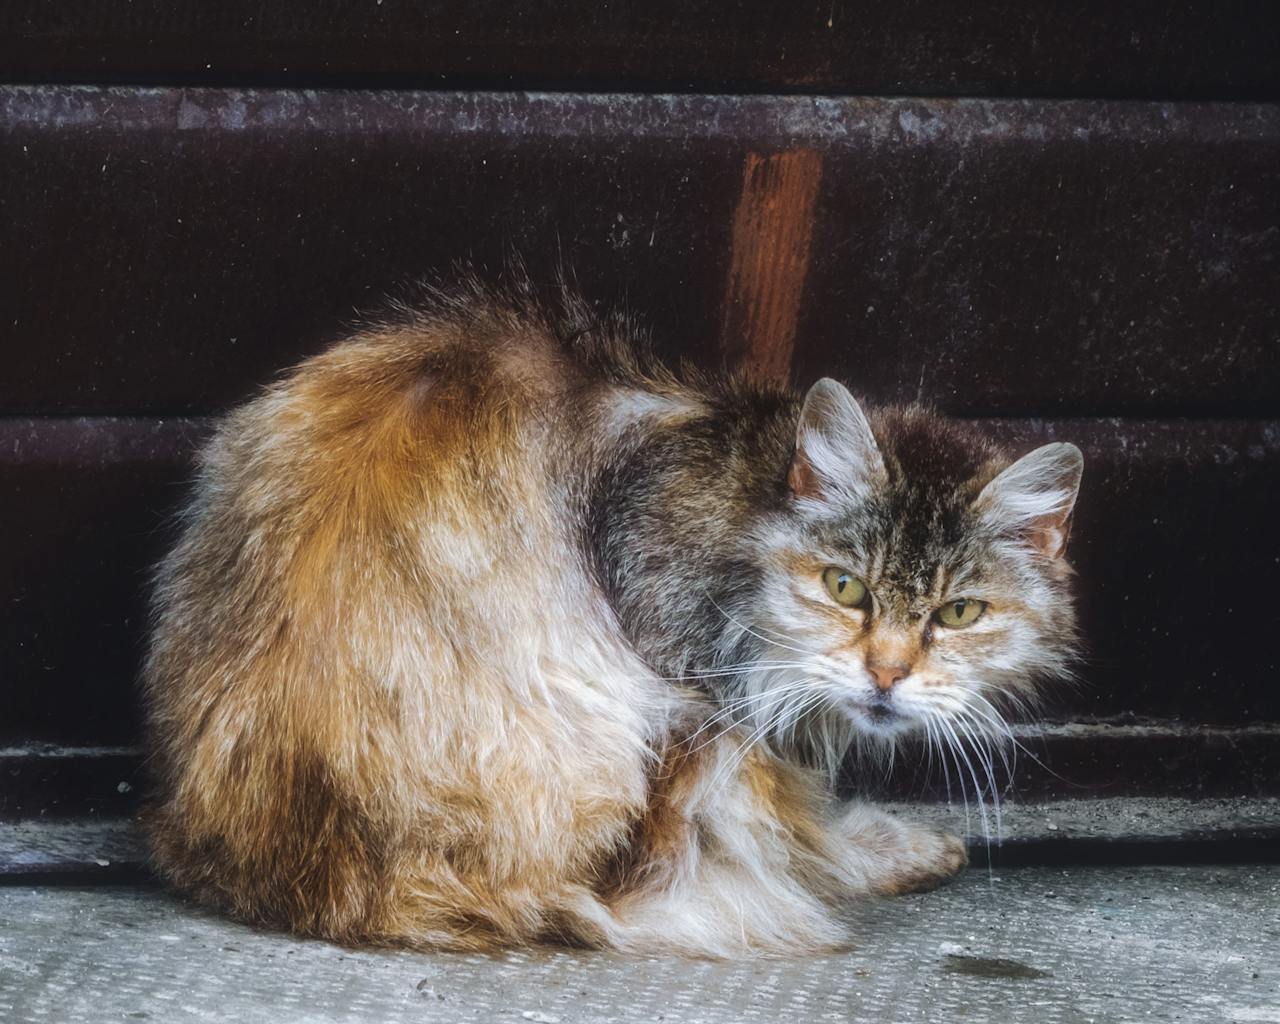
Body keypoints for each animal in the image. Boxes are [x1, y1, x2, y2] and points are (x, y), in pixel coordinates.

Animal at [140, 276, 1080, 957]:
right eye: (846, 588)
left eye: (960, 612)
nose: (887, 673)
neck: (741, 482)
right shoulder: (699, 680)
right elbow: (798, 829)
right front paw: (881, 851)